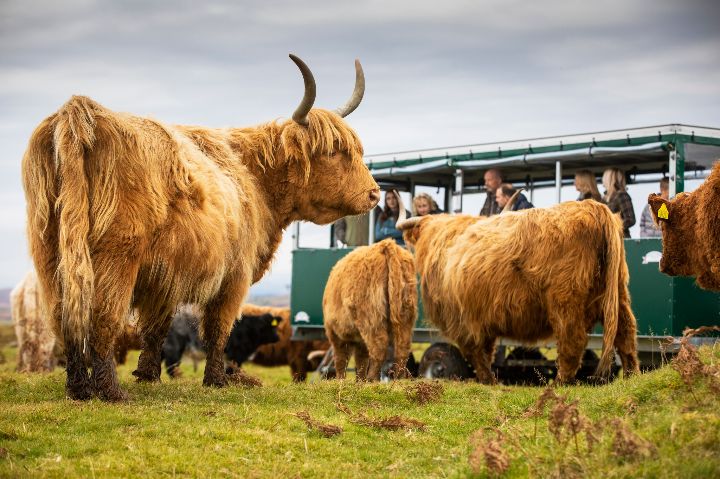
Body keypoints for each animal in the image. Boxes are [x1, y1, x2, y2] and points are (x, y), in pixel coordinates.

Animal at [21, 55, 382, 402]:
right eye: (333, 151)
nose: (374, 194)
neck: (254, 176)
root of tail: (81, 112)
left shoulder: (166, 275)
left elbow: (156, 328)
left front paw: (148, 376)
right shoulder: (235, 274)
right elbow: (218, 329)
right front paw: (217, 380)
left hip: (51, 254)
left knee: (64, 318)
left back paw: (79, 388)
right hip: (117, 256)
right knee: (103, 317)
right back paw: (111, 392)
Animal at [400, 201, 640, 384]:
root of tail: (594, 207)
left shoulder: (463, 321)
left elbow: (476, 354)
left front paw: (487, 380)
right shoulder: (481, 320)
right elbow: (486, 352)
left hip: (565, 302)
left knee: (573, 342)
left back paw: (560, 383)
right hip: (619, 296)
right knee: (626, 334)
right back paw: (631, 377)